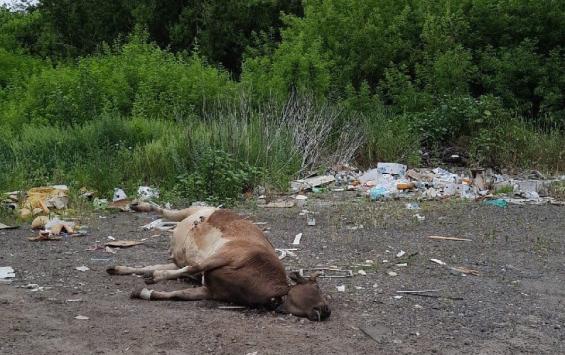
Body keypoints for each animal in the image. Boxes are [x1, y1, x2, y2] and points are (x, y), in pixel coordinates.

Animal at [104, 203, 330, 322]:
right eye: (317, 286)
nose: (326, 310)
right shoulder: (225, 255)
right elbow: (196, 266)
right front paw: (155, 279)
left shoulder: (211, 291)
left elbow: (177, 295)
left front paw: (143, 292)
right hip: (193, 209)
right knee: (167, 212)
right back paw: (139, 205)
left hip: (176, 260)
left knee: (155, 265)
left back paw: (118, 268)